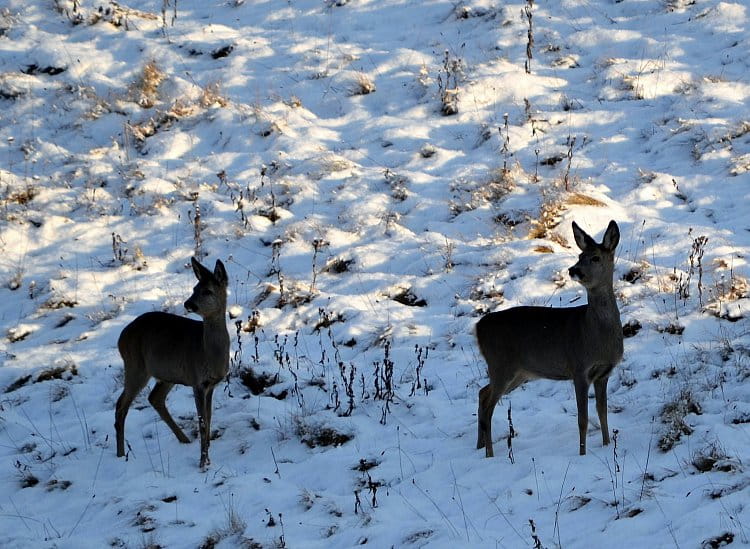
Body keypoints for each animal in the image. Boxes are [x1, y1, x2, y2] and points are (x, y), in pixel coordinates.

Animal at [114, 256, 231, 466]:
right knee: (121, 405)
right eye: (194, 288)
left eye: (207, 291)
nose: (188, 303)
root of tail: (121, 338)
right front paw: (203, 462)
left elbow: (209, 418)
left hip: (166, 374)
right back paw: (120, 454)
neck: (209, 355)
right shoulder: (197, 381)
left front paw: (207, 453)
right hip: (135, 366)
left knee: (154, 398)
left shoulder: (212, 384)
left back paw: (184, 439)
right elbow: (202, 422)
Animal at [478, 218, 624, 454]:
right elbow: (582, 420)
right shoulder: (579, 367)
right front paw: (582, 454)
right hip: (501, 364)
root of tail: (477, 328)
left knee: (482, 393)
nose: (574, 270)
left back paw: (480, 447)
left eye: (595, 257)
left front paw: (607, 445)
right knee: (488, 407)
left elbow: (602, 412)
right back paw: (490, 454)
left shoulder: (604, 372)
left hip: (518, 373)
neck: (595, 334)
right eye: (579, 256)